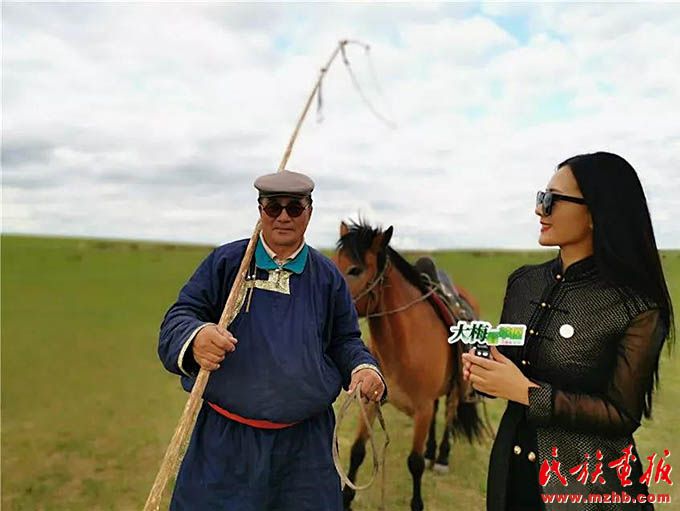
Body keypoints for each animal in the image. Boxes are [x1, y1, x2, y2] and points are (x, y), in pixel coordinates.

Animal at [334, 220, 485, 511]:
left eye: (355, 269)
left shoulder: (422, 409)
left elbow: (413, 464)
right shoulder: (369, 401)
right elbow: (358, 451)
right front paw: (345, 500)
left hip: (456, 387)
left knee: (449, 414)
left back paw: (441, 457)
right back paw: (431, 451)